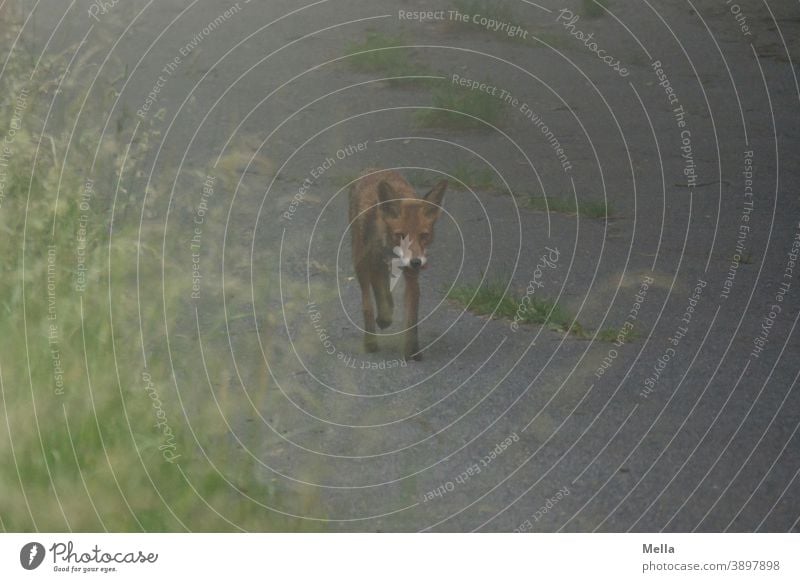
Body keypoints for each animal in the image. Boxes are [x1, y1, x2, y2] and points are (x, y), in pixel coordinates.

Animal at [348, 169, 446, 360]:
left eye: (424, 236)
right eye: (400, 235)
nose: (416, 262)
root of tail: (372, 169)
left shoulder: (411, 276)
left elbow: (411, 318)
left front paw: (412, 351)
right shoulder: (369, 265)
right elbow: (371, 302)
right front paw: (372, 338)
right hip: (362, 259)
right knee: (373, 295)